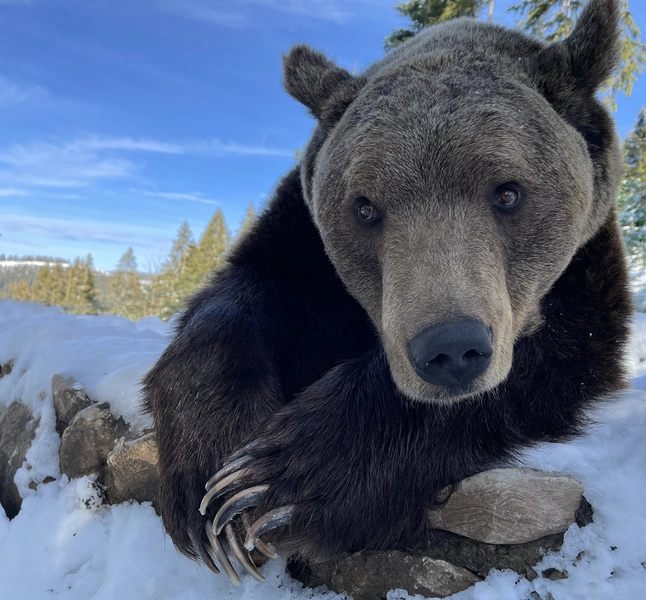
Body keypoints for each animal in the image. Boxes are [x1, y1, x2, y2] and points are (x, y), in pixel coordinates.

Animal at [142, 0, 632, 584]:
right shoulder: (300, 242)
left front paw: (271, 483)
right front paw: (211, 486)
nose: (452, 349)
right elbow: (240, 296)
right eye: (365, 207)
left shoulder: (580, 280)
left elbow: (553, 357)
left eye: (509, 192)